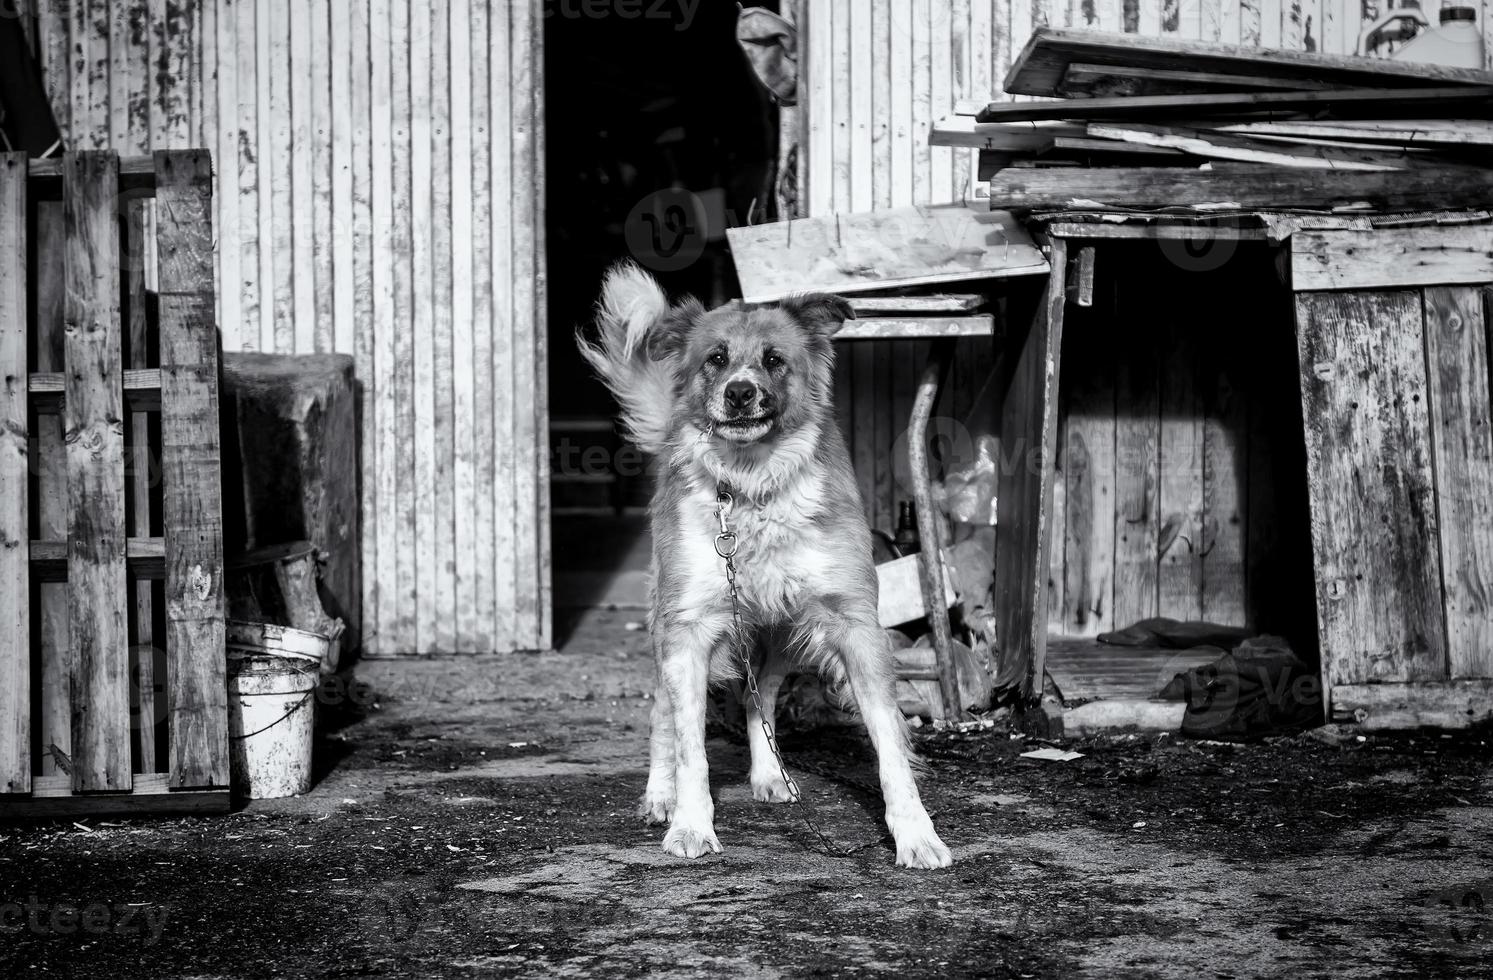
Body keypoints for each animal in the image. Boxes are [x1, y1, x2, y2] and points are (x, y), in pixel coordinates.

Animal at [576, 259, 949, 866]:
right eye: (716, 359)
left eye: (774, 359)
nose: (740, 393)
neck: (751, 487)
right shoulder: (689, 628)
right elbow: (691, 747)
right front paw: (689, 824)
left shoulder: (855, 624)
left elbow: (889, 743)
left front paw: (916, 834)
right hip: (666, 624)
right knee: (661, 713)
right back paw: (660, 794)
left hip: (781, 628)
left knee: (763, 696)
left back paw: (771, 774)